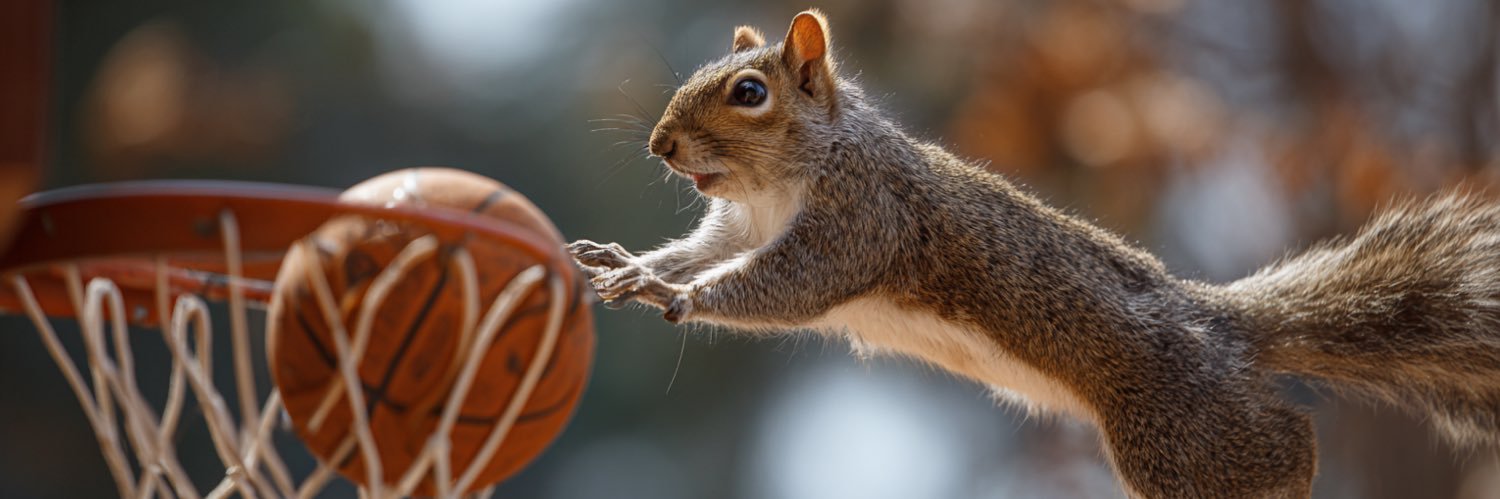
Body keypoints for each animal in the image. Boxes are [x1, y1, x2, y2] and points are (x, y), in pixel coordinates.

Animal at [568, 10, 1500, 499]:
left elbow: (780, 287)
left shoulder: (859, 223)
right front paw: (633, 264)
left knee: (1281, 443)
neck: (785, 178)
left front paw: (676, 294)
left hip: (1180, 437)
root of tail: (1221, 326)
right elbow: (701, 251)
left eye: (749, 92)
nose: (659, 145)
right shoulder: (739, 226)